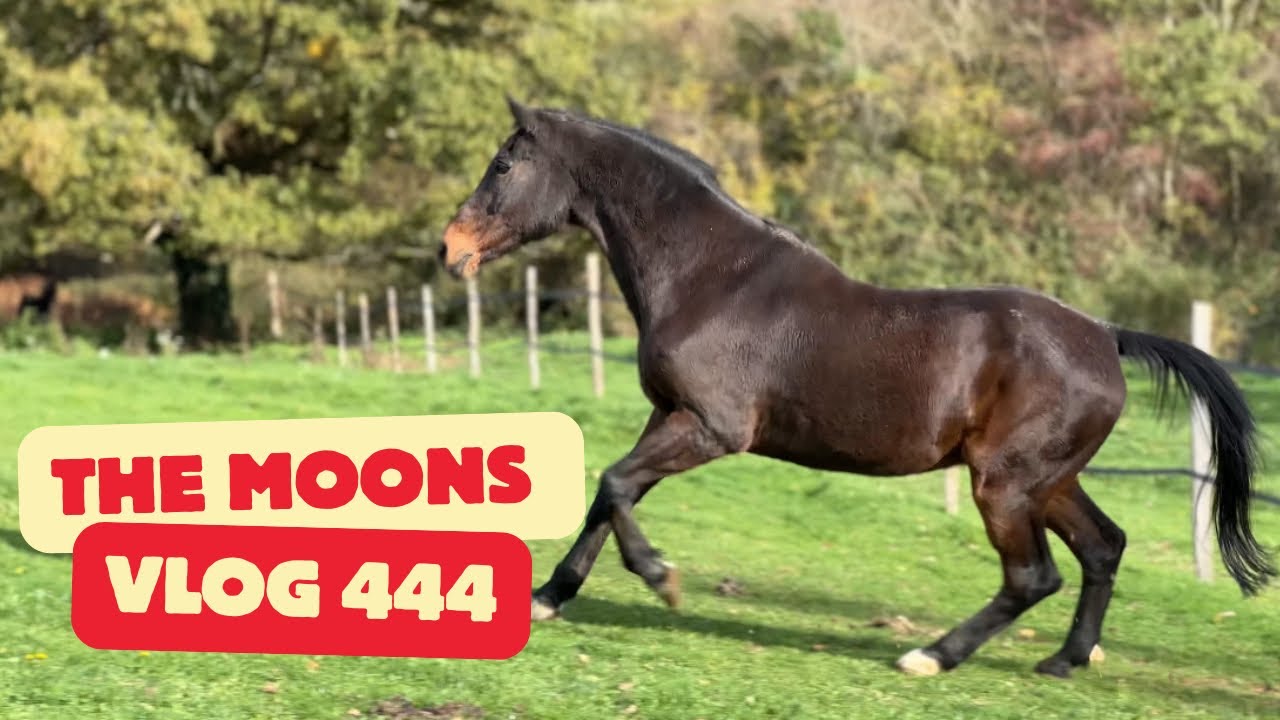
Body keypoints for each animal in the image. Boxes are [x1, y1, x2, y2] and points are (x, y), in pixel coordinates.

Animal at [438, 97, 1275, 678]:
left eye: (504, 165)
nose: (450, 248)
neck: (711, 277)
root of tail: (1106, 335)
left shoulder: (711, 427)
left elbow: (614, 485)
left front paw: (661, 579)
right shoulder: (670, 415)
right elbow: (609, 493)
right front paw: (550, 598)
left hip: (1006, 485)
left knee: (1033, 575)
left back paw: (931, 656)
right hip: (1049, 480)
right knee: (1104, 549)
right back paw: (1065, 660)